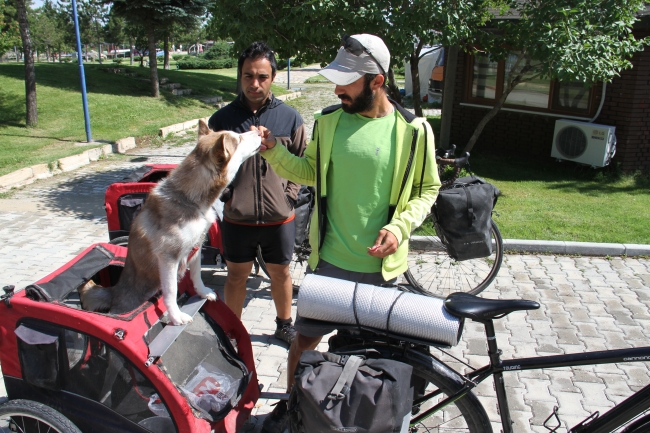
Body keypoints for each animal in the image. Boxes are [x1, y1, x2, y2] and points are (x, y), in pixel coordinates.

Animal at [81, 120, 260, 322]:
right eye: (238, 139)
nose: (258, 131)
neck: (190, 200)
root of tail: (114, 292)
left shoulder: (196, 248)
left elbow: (197, 275)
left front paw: (203, 292)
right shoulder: (168, 257)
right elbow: (171, 290)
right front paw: (176, 316)